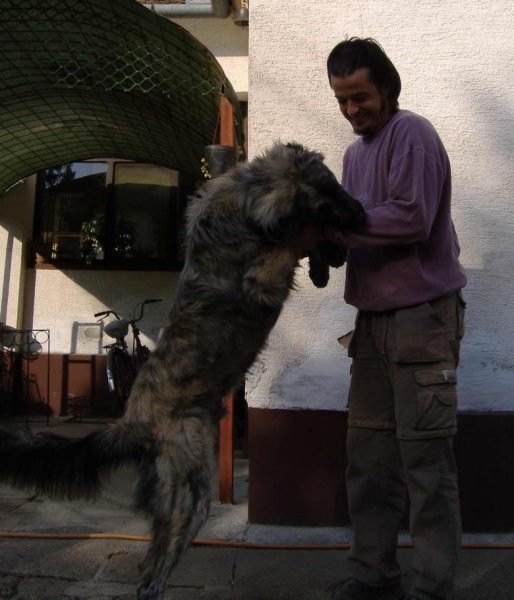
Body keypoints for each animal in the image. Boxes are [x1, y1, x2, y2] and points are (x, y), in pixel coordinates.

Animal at [0, 142, 364, 600]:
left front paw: (323, 263)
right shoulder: (265, 274)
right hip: (191, 491)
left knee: (148, 562)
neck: (239, 205)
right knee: (155, 568)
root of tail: (130, 423)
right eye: (330, 191)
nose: (366, 216)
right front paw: (320, 254)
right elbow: (291, 242)